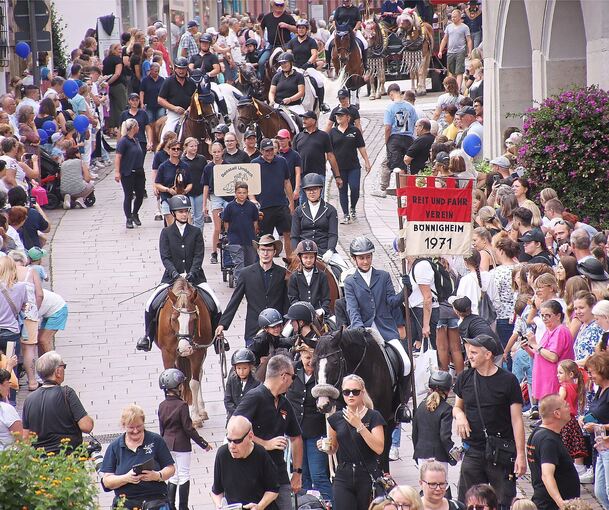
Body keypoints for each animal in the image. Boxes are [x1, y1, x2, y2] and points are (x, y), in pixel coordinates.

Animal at [154, 276, 214, 428]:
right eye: (174, 318)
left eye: (194, 319)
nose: (185, 348)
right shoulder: (168, 353)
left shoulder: (198, 352)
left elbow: (194, 383)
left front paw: (195, 417)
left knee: (199, 374)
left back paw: (201, 410)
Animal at [312, 326, 410, 470]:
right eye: (313, 364)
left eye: (335, 362)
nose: (323, 404)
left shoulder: (381, 418)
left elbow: (379, 449)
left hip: (392, 418)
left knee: (386, 444)